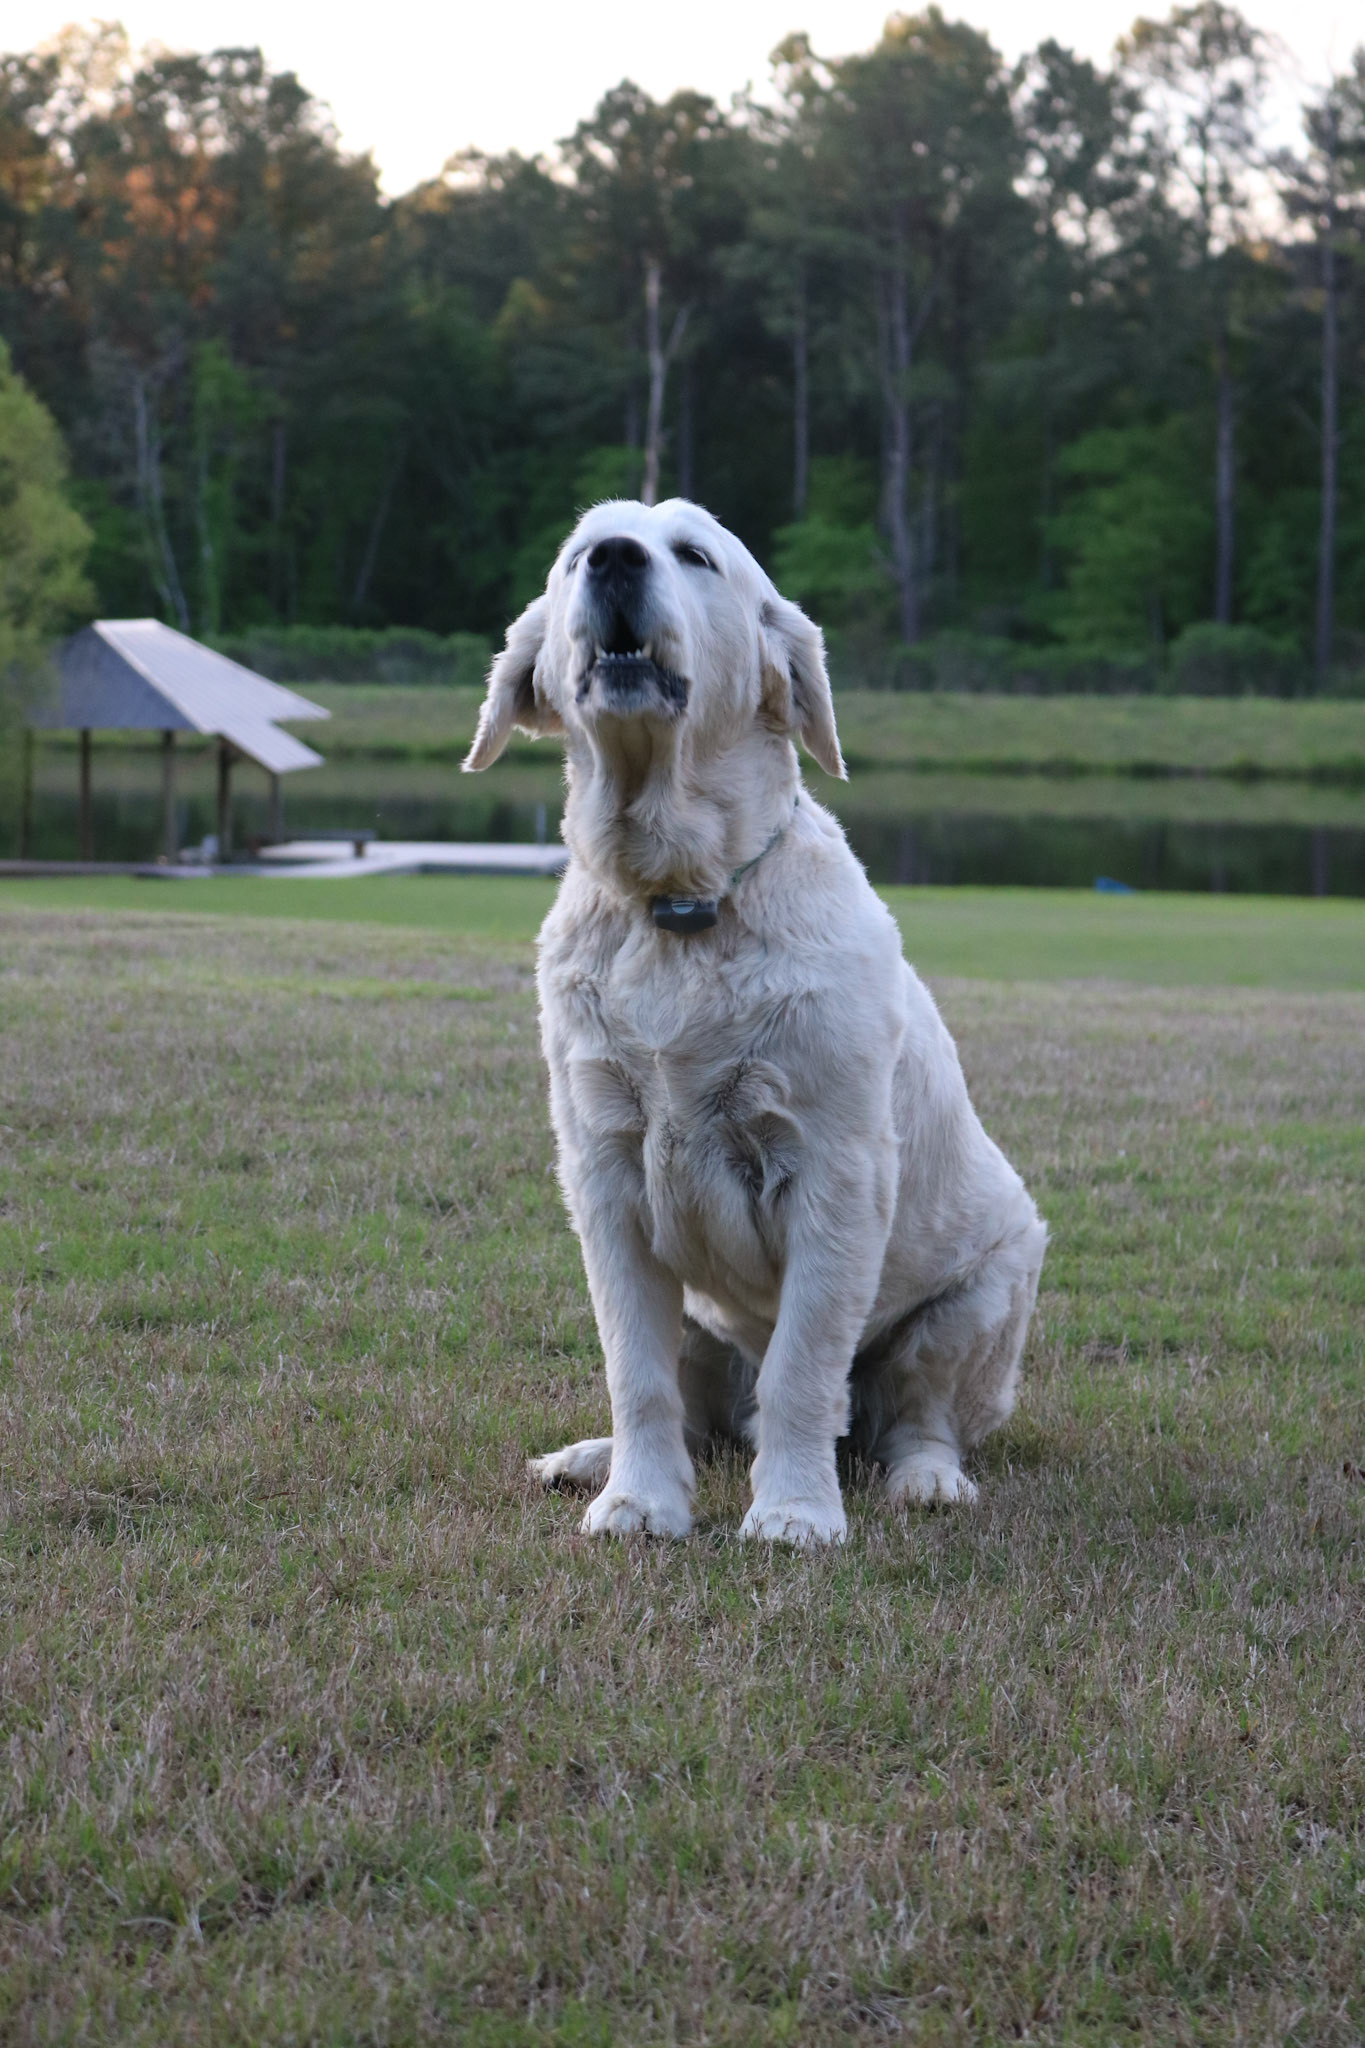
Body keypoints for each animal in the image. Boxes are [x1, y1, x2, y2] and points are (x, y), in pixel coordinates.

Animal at [463, 498, 1046, 1544]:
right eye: (576, 557)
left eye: (695, 556)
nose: (615, 560)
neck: (678, 901)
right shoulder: (604, 1177)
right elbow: (636, 1372)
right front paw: (637, 1501)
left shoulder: (832, 1176)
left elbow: (804, 1370)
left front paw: (794, 1512)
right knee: (696, 1412)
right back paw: (588, 1459)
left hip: (984, 1289)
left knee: (919, 1417)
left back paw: (926, 1478)